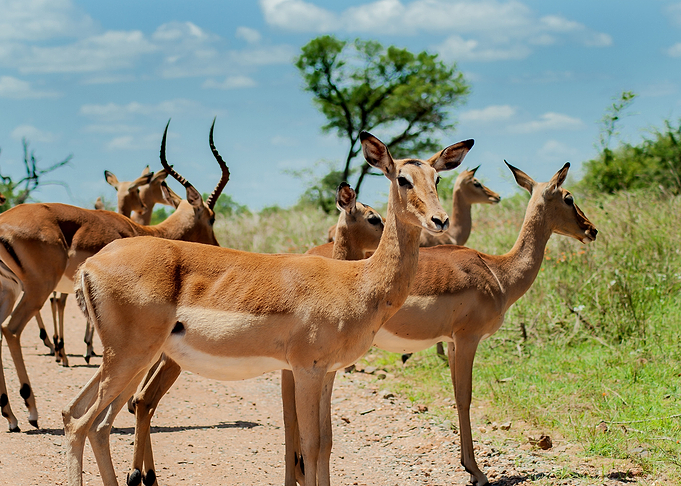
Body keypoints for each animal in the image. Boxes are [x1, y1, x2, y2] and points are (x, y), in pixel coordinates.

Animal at [0, 120, 229, 432]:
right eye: (212, 217)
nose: (216, 246)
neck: (144, 231)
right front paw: (131, 400)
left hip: (10, 290)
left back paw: (10, 413)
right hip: (37, 288)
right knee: (11, 330)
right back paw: (31, 410)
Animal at [62, 132, 473, 486]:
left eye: (436, 177)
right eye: (402, 178)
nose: (439, 221)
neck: (355, 281)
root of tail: (92, 265)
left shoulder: (327, 374)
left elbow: (326, 443)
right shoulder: (305, 371)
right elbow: (308, 443)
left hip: (130, 362)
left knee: (86, 419)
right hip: (130, 359)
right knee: (83, 423)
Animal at [285, 161, 598, 485]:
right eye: (568, 198)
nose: (592, 229)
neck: (498, 273)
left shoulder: (449, 342)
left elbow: (457, 395)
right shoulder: (467, 339)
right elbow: (464, 397)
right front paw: (475, 471)